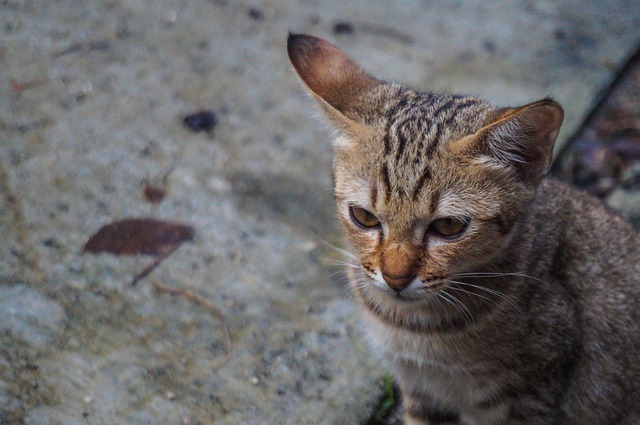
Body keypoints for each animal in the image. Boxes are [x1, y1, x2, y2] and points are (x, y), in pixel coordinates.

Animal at [288, 34, 640, 424]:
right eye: (364, 217)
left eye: (448, 226)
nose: (395, 278)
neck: (411, 327)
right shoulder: (421, 391)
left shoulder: (527, 398)